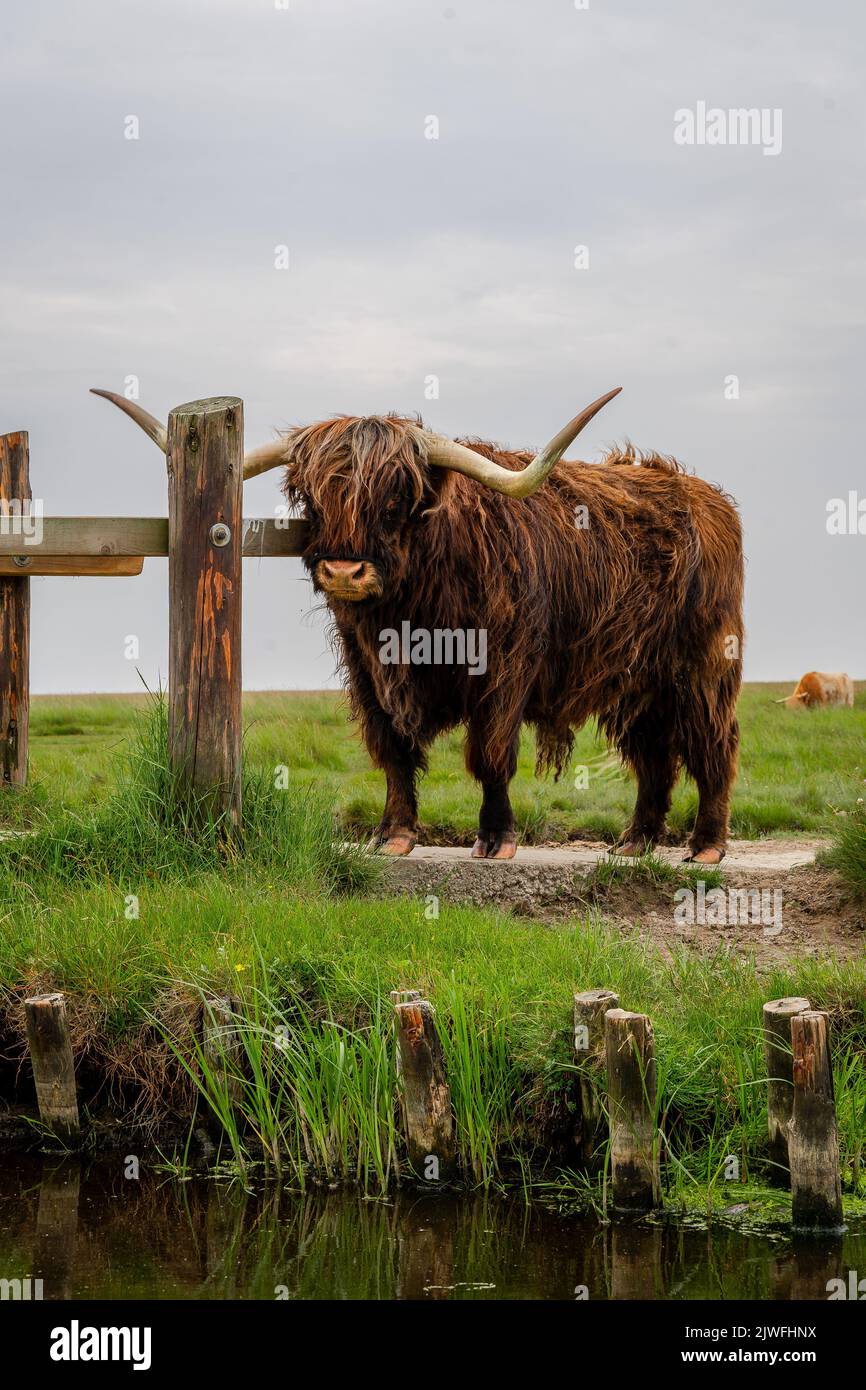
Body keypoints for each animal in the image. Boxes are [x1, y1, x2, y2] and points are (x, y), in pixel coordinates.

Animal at [93, 386, 744, 866]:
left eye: (394, 500)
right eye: (311, 498)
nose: (343, 570)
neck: (413, 614)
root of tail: (705, 497)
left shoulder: (502, 672)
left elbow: (490, 755)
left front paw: (496, 838)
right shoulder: (367, 672)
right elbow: (393, 752)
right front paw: (394, 834)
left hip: (704, 667)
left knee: (713, 746)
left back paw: (706, 846)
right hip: (640, 682)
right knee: (654, 755)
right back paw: (635, 843)